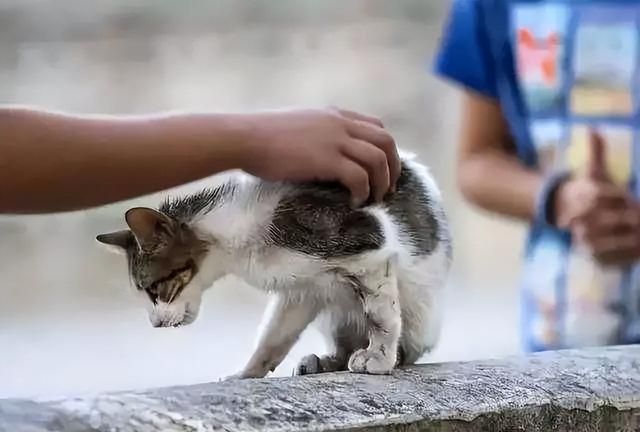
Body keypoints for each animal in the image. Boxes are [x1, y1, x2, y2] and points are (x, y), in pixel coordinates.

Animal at [97, 152, 452, 378]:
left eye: (154, 289)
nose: (155, 323)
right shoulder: (301, 288)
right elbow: (274, 335)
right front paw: (245, 374)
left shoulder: (369, 244)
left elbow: (381, 316)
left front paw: (378, 357)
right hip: (333, 311)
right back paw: (325, 361)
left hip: (420, 312)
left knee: (407, 341)